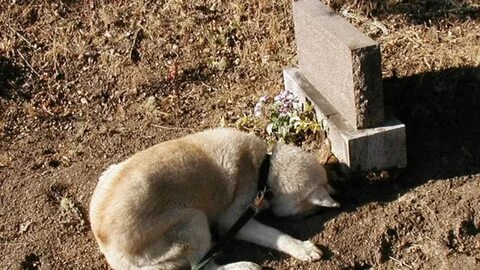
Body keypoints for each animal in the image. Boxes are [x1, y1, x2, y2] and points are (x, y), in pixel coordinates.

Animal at [88, 127, 340, 268]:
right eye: (311, 209)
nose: (333, 193)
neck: (264, 167)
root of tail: (109, 249)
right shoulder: (234, 219)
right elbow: (275, 235)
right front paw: (303, 248)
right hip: (193, 219)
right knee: (203, 266)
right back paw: (243, 266)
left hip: (109, 171)